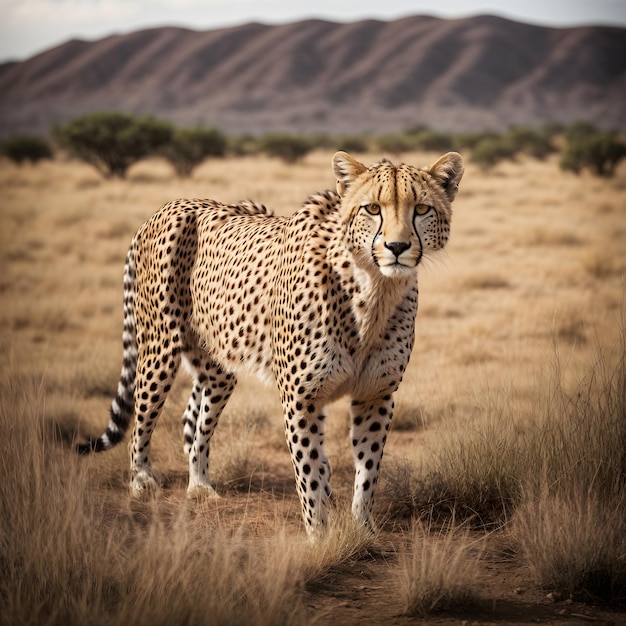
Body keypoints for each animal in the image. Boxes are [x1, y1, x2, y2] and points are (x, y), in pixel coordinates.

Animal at [78, 151, 460, 536]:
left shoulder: (376, 394)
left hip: (218, 365)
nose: (397, 247)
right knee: (142, 417)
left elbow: (367, 471)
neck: (373, 288)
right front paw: (319, 536)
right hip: (159, 349)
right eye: (372, 208)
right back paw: (141, 481)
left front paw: (363, 528)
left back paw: (200, 486)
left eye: (421, 209)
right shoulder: (301, 397)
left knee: (194, 420)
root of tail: (170, 206)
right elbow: (308, 474)